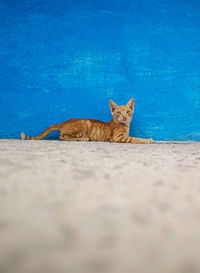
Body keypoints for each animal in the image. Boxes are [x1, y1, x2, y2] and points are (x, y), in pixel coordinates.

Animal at [20, 98, 153, 144]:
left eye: (128, 111)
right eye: (119, 112)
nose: (124, 117)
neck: (125, 125)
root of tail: (65, 121)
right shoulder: (117, 138)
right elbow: (134, 139)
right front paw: (147, 140)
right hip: (83, 126)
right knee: (62, 136)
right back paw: (83, 139)